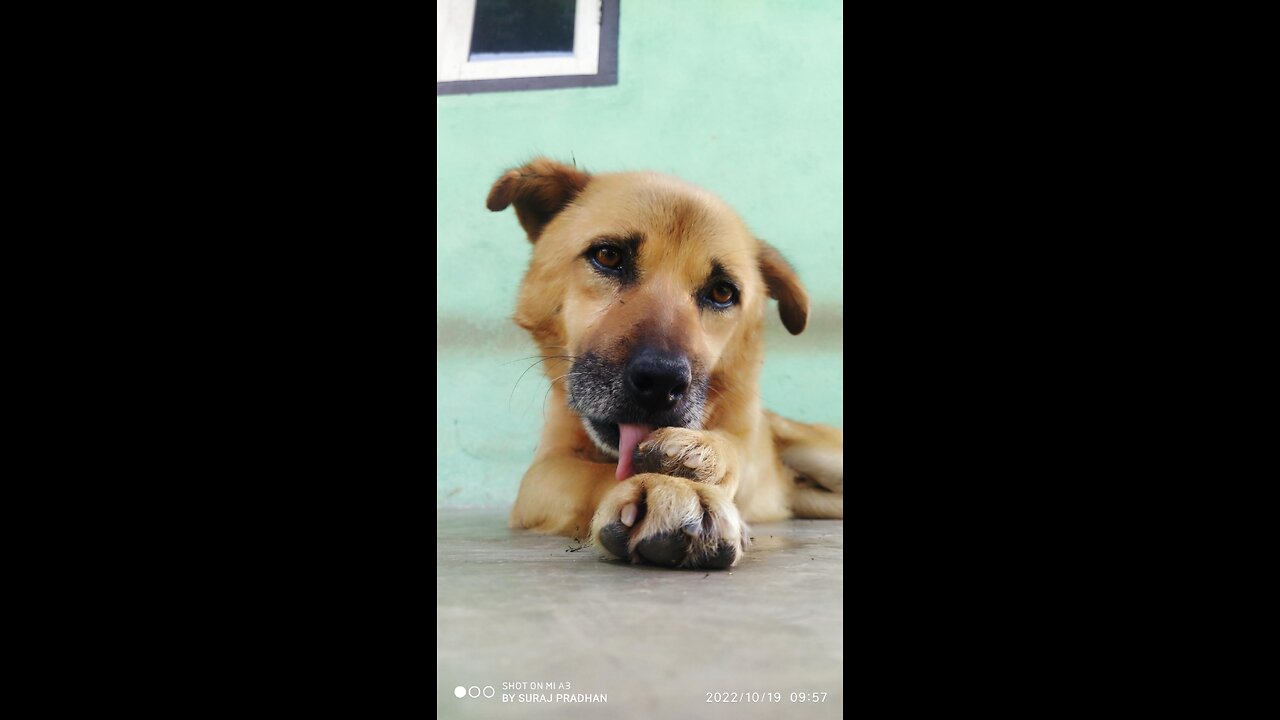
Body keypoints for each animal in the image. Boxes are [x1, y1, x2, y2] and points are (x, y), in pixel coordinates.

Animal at [486, 156, 839, 566]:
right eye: (608, 256)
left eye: (722, 292)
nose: (661, 382)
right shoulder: (543, 471)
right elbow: (595, 475)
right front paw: (665, 489)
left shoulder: (750, 449)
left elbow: (736, 449)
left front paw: (704, 455)